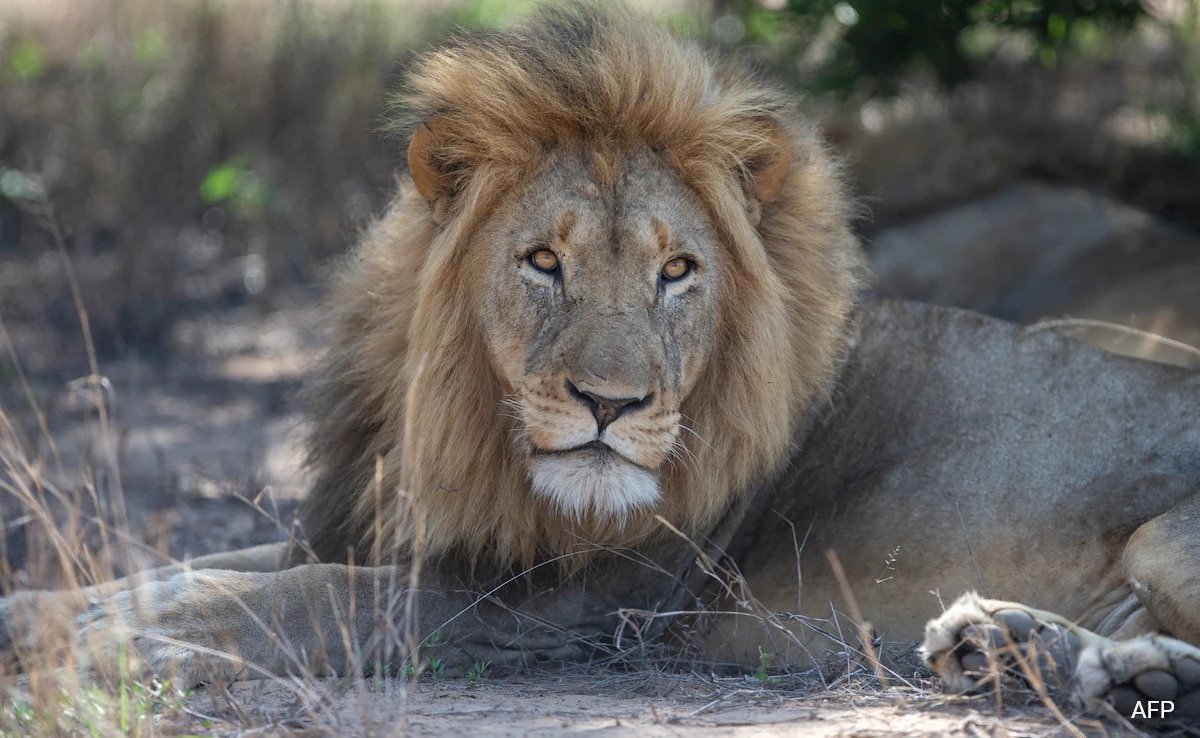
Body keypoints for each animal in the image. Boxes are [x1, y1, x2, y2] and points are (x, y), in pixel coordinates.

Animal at [2, 1, 1200, 729]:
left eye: (678, 271)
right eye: (544, 262)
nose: (610, 406)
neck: (462, 427)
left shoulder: (565, 609)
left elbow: (303, 601)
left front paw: (127, 650)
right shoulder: (380, 526)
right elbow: (205, 567)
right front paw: (48, 614)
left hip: (1164, 533)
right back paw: (1018, 647)